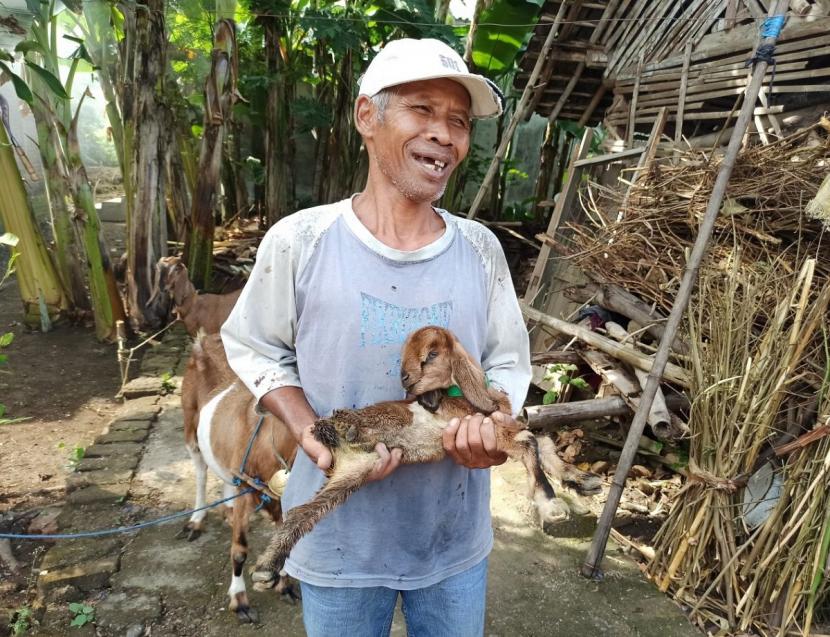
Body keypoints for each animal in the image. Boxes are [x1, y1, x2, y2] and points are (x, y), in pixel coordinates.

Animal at [180, 332, 298, 620]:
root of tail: (205, 340)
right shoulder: (247, 487)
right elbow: (240, 550)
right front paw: (239, 599)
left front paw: (285, 586)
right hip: (189, 423)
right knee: (201, 471)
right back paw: (196, 520)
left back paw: (228, 510)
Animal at [256, 328, 576, 576]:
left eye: (432, 355)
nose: (406, 379)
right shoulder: (492, 430)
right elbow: (530, 441)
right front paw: (552, 504)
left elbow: (537, 439)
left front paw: (574, 482)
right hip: (384, 423)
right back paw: (343, 427)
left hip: (351, 475)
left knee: (301, 513)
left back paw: (266, 567)